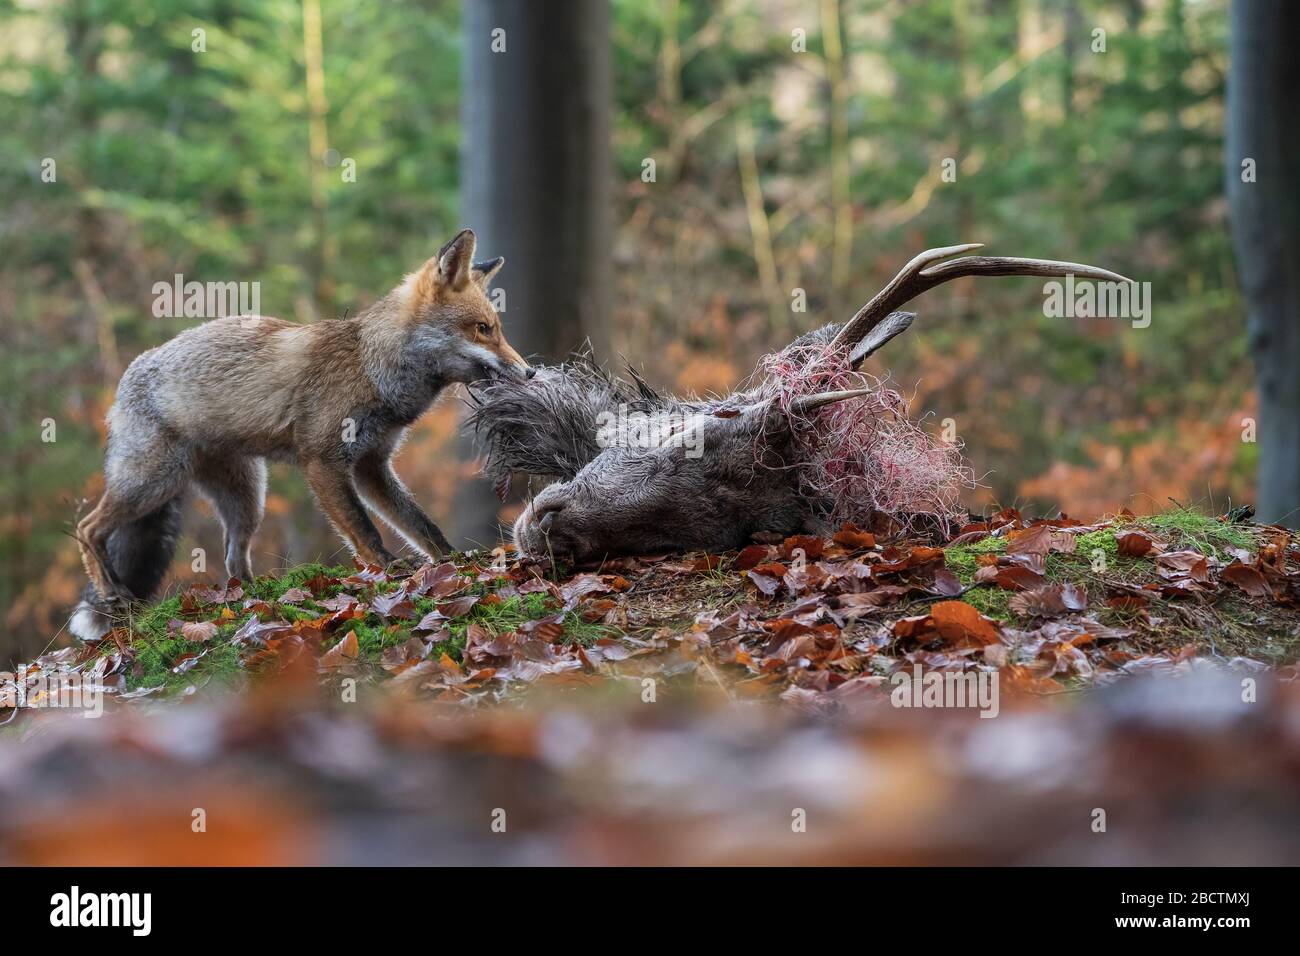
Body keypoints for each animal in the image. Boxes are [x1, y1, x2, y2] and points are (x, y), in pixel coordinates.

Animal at [69, 227, 527, 639]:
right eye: (483, 329)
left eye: (496, 328)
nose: (528, 372)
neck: (372, 365)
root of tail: (132, 370)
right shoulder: (323, 460)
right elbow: (364, 530)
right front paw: (391, 571)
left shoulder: (372, 464)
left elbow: (422, 525)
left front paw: (455, 564)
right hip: (152, 483)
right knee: (87, 528)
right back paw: (112, 593)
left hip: (247, 499)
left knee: (233, 559)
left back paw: (248, 599)